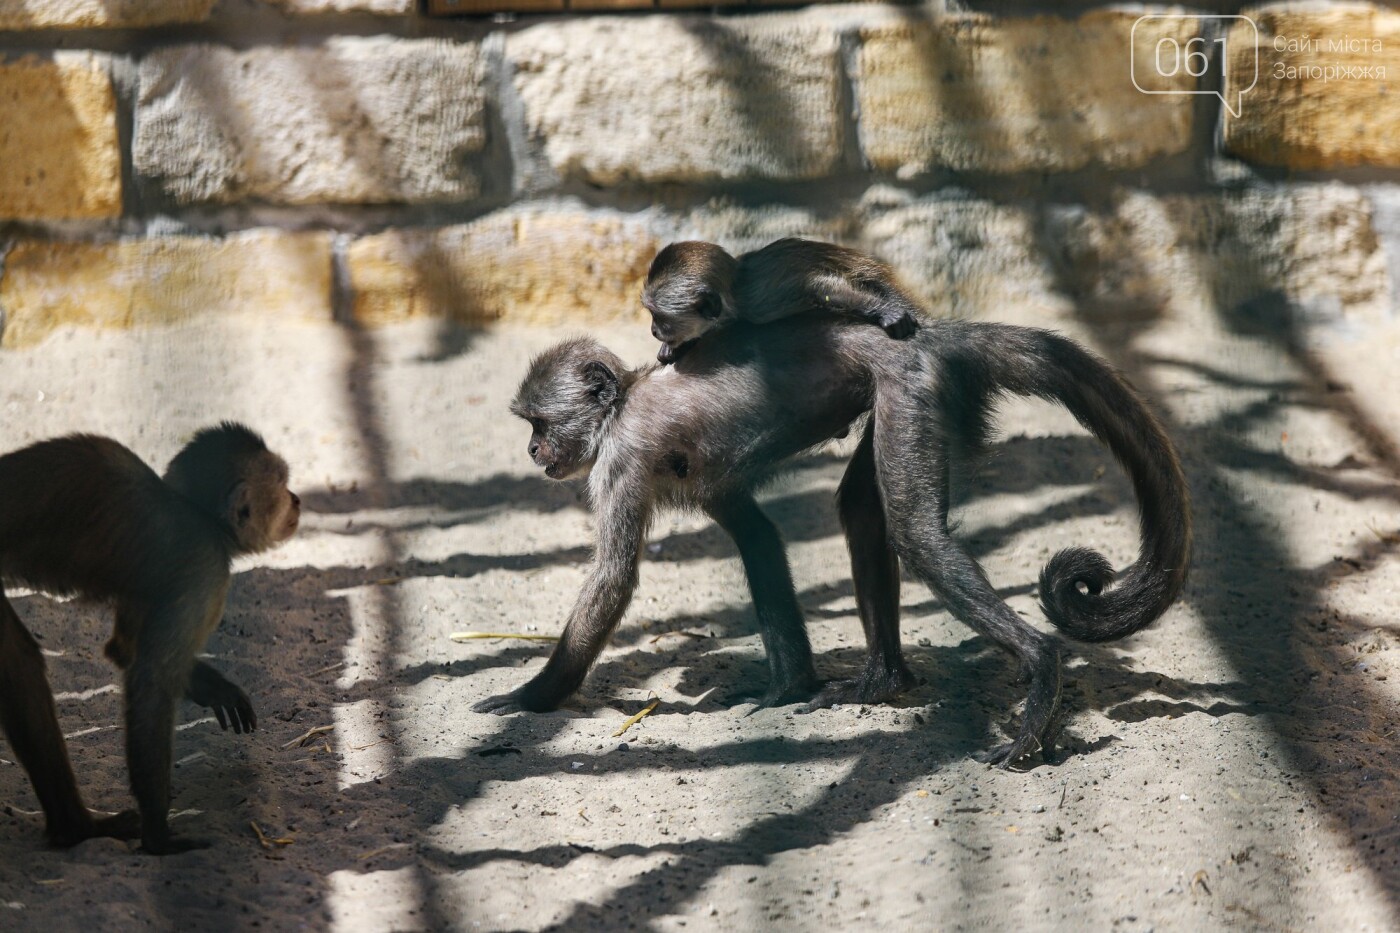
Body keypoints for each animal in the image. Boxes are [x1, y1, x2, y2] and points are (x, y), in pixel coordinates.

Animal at [0, 420, 301, 851]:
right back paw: (81, 828)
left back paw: (75, 828)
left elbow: (125, 649)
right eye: (281, 486)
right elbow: (150, 678)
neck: (197, 514)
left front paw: (214, 687)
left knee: (18, 662)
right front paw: (159, 834)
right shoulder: (207, 567)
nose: (296, 500)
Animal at [481, 316, 1192, 767]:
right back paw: (882, 682)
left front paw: (530, 697)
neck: (625, 401)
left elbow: (613, 578)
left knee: (915, 532)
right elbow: (760, 539)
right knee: (860, 511)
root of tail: (923, 335)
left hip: (911, 391)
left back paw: (1040, 668)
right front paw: (788, 688)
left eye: (540, 423)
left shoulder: (621, 458)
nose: (533, 451)